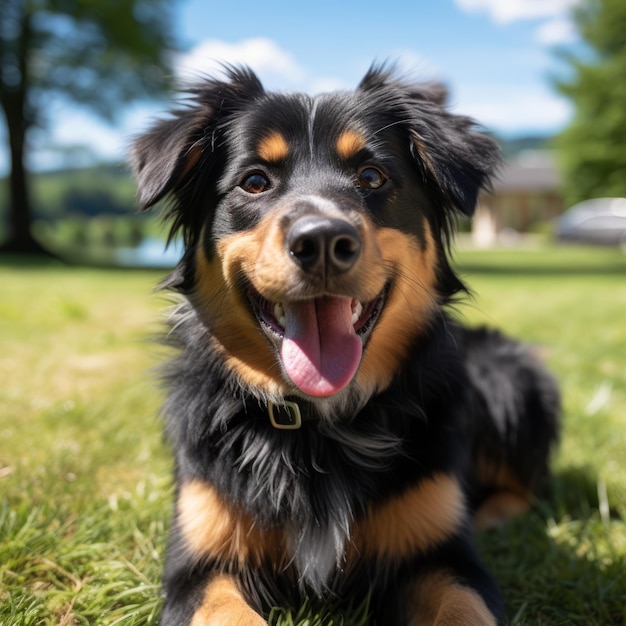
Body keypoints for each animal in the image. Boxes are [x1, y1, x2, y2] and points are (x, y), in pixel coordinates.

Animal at [133, 64, 560, 624]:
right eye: (255, 182)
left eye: (372, 177)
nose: (321, 242)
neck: (320, 427)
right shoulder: (199, 564)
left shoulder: (444, 555)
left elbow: (464, 607)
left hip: (510, 378)